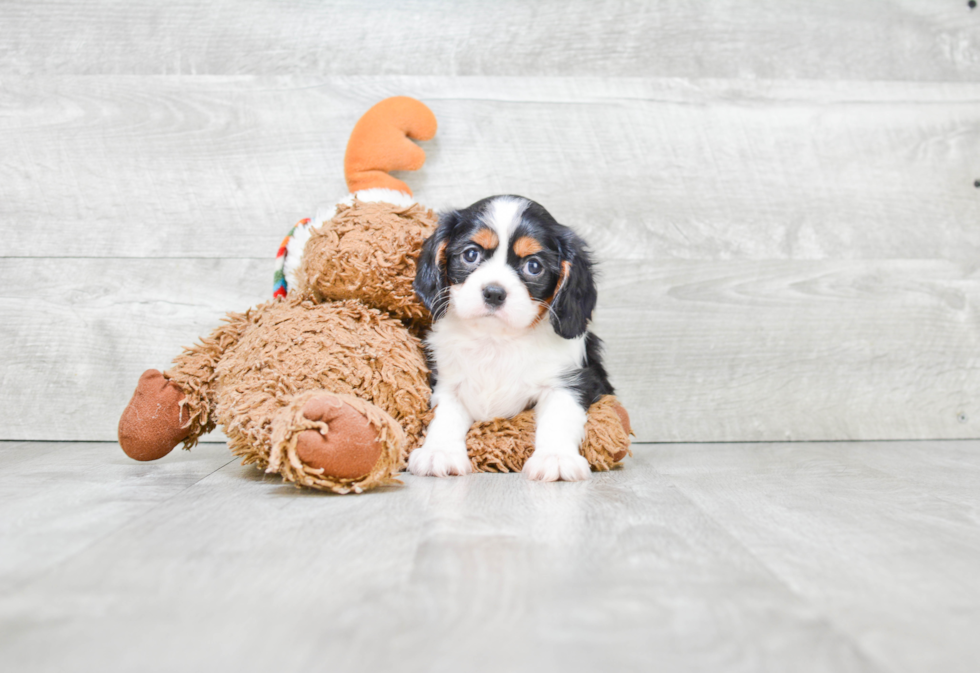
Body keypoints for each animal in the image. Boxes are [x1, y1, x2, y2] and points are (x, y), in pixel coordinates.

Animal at [412, 192, 612, 480]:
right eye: (471, 254)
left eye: (534, 266)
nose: (494, 292)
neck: (495, 340)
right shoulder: (448, 384)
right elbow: (444, 417)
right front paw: (438, 452)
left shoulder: (570, 381)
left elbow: (559, 417)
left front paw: (555, 457)